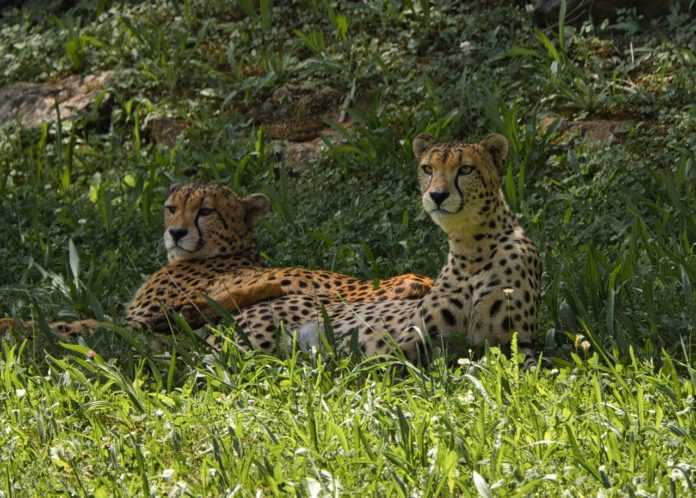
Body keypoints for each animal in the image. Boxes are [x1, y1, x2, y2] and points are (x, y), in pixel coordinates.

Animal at [1, 181, 436, 336]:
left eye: (205, 211)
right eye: (171, 208)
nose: (176, 232)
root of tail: (423, 282)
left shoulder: (132, 323)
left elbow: (68, 324)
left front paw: (12, 324)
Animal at [220, 132, 540, 366]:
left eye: (465, 169)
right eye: (428, 168)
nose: (437, 195)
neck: (472, 246)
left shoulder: (516, 345)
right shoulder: (410, 341)